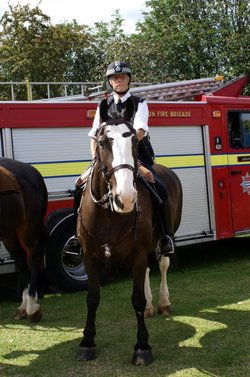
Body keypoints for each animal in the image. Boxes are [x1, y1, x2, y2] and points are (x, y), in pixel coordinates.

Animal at [0, 157, 47, 322]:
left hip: (27, 228)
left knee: (34, 256)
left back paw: (32, 306)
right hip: (9, 233)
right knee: (20, 258)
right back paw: (24, 305)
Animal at [76, 97, 182, 364]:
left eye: (134, 140)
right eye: (102, 142)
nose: (125, 198)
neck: (109, 214)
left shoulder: (137, 254)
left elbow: (136, 299)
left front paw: (142, 347)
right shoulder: (90, 257)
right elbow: (92, 298)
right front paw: (87, 342)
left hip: (162, 241)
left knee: (162, 265)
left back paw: (163, 303)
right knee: (147, 271)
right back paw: (152, 307)